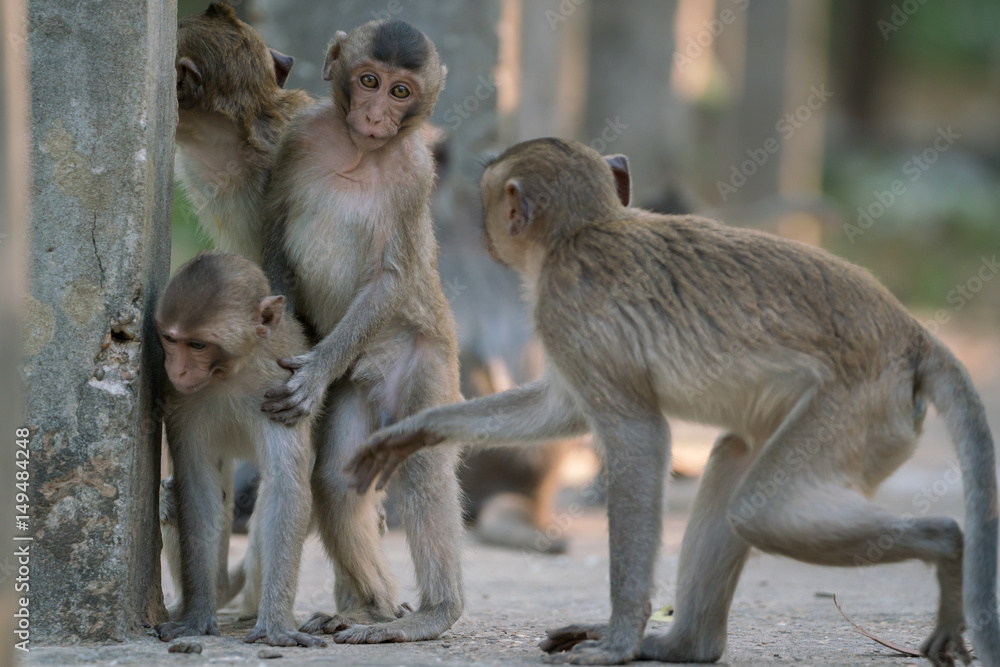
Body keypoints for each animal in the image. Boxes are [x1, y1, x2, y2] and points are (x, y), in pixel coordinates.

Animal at [260, 20, 466, 644]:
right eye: (369, 80)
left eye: (401, 92)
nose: (376, 114)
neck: (357, 151)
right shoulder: (300, 134)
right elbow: (275, 231)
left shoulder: (416, 172)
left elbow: (390, 276)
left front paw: (313, 372)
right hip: (357, 389)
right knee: (335, 480)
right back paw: (370, 610)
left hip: (425, 361)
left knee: (422, 469)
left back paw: (432, 614)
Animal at [348, 138, 996, 664]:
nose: (485, 230)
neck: (581, 233)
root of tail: (912, 333)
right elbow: (560, 411)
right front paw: (419, 429)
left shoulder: (564, 307)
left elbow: (637, 436)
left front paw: (618, 640)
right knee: (736, 460)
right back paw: (686, 645)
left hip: (859, 408)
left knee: (762, 508)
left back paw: (946, 543)